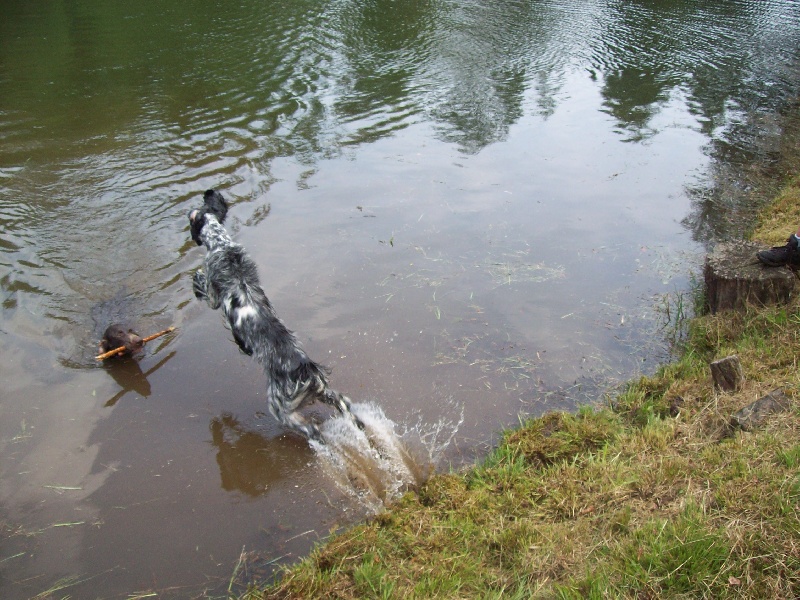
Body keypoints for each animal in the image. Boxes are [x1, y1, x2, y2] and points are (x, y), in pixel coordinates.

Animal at [188, 190, 362, 442]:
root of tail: (308, 372)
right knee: (345, 406)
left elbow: (202, 284)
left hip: (279, 406)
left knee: (312, 429)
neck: (222, 246)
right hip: (329, 394)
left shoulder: (213, 296)